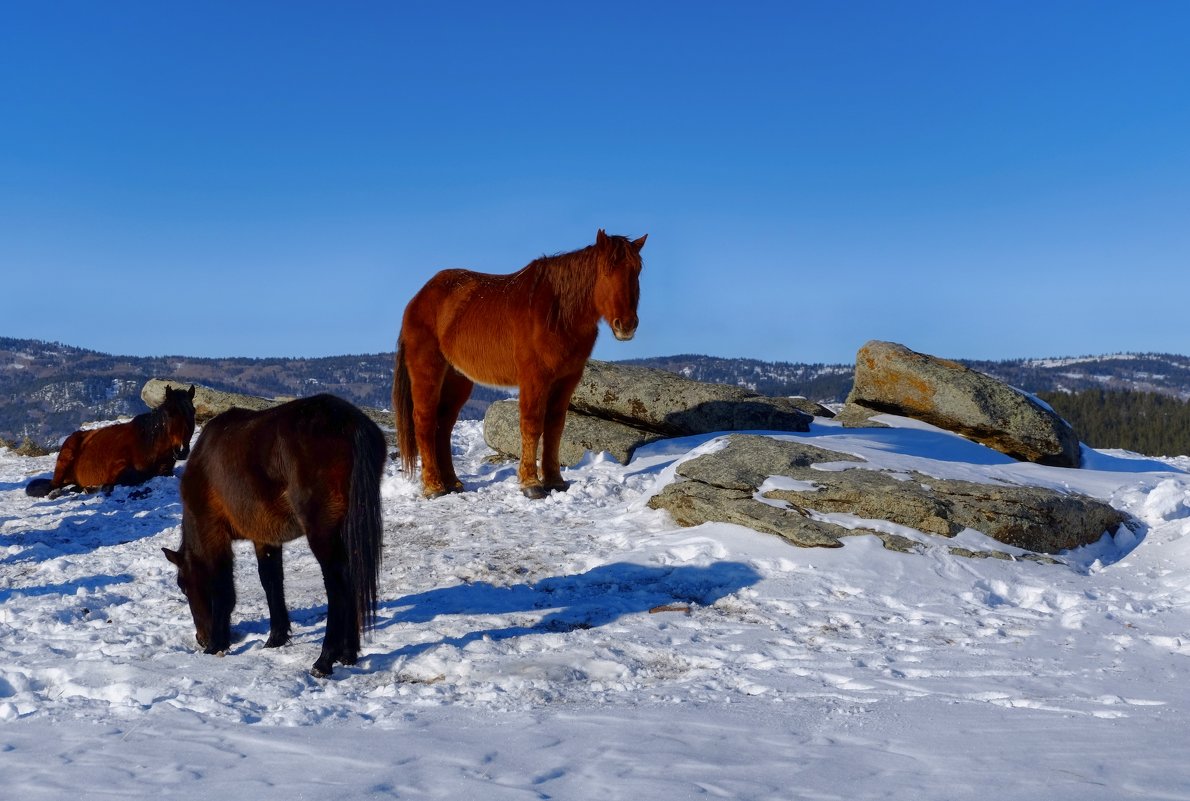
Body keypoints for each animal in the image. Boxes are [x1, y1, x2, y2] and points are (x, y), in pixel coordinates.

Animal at [24, 383, 196, 499]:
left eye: (193, 411)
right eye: (170, 413)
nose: (182, 450)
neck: (148, 444)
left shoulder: (166, 468)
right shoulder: (118, 467)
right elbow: (133, 476)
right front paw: (103, 486)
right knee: (54, 486)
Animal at [161, 392, 385, 676]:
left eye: (183, 586)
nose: (201, 638)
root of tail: (348, 422)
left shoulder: (214, 534)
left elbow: (224, 590)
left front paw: (217, 644)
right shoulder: (265, 538)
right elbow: (271, 581)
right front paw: (276, 637)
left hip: (322, 533)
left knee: (337, 586)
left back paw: (324, 659)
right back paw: (348, 653)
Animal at [395, 228, 647, 497]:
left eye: (636, 271)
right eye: (606, 271)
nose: (626, 325)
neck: (557, 313)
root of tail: (419, 298)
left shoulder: (567, 380)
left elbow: (555, 427)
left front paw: (555, 480)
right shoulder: (534, 379)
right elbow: (532, 425)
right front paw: (531, 483)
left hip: (457, 378)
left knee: (443, 425)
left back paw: (452, 482)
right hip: (428, 371)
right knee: (424, 421)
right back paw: (433, 486)